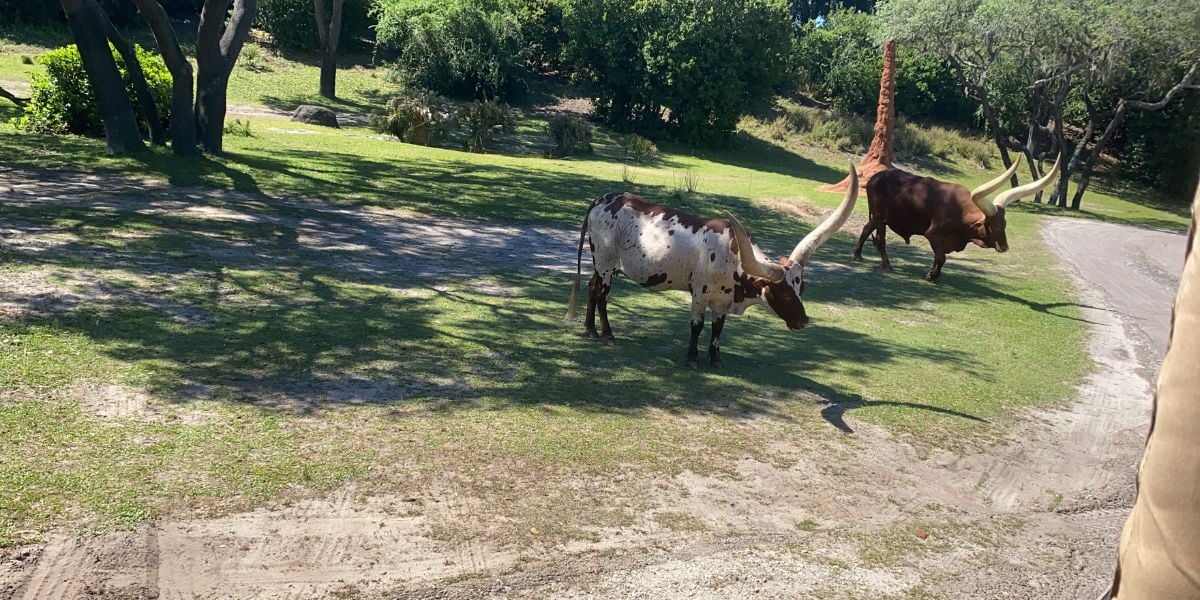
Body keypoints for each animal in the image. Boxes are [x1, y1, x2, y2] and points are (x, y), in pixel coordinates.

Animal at [564, 163, 858, 369]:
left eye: (802, 288)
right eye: (784, 293)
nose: (804, 321)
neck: (734, 258)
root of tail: (602, 200)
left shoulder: (722, 301)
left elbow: (718, 329)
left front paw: (715, 358)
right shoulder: (699, 293)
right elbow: (697, 325)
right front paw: (693, 358)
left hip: (603, 265)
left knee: (591, 288)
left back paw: (590, 330)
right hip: (605, 262)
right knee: (602, 294)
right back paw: (607, 334)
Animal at [853, 154, 1061, 282]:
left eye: (1004, 224)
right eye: (992, 226)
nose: (1004, 247)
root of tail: (874, 178)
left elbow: (939, 258)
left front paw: (935, 276)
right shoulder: (933, 234)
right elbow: (941, 257)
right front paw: (931, 276)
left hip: (879, 217)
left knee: (867, 229)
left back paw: (858, 255)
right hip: (880, 217)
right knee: (880, 238)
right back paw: (885, 264)